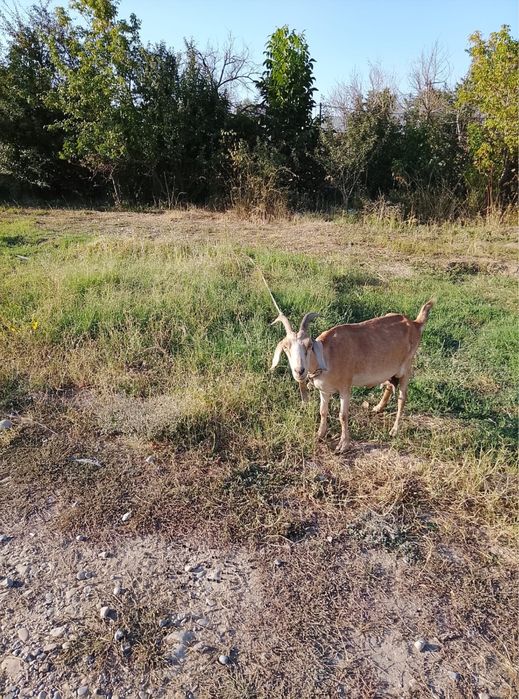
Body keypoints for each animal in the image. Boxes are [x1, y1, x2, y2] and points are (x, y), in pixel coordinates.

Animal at [270, 301, 435, 453]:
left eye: (309, 345)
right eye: (285, 347)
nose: (299, 371)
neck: (327, 356)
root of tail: (415, 324)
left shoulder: (345, 387)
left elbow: (343, 415)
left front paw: (343, 445)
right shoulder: (324, 390)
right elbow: (323, 411)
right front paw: (319, 435)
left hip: (406, 368)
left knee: (402, 398)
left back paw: (394, 430)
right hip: (390, 370)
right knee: (389, 385)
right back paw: (378, 407)